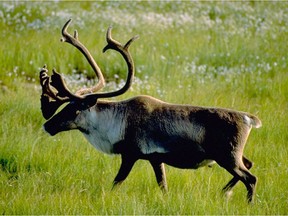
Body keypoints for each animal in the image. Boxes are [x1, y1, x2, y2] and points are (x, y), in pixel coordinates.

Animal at [39, 19, 262, 203]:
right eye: (64, 106)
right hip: (230, 156)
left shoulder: (130, 154)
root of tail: (250, 119)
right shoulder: (156, 158)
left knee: (250, 178)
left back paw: (246, 202)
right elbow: (163, 185)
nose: (47, 125)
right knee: (249, 164)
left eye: (74, 109)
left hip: (228, 156)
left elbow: (116, 182)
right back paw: (224, 191)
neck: (116, 121)